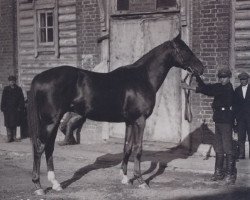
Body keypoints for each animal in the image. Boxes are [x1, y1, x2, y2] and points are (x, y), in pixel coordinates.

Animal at [27, 33, 204, 195]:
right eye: (184, 50)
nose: (201, 68)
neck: (142, 77)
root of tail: (39, 77)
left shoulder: (129, 121)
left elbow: (127, 147)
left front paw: (125, 178)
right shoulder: (140, 120)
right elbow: (138, 149)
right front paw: (140, 181)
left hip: (53, 122)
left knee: (49, 148)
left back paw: (56, 184)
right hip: (51, 122)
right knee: (40, 147)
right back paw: (38, 186)